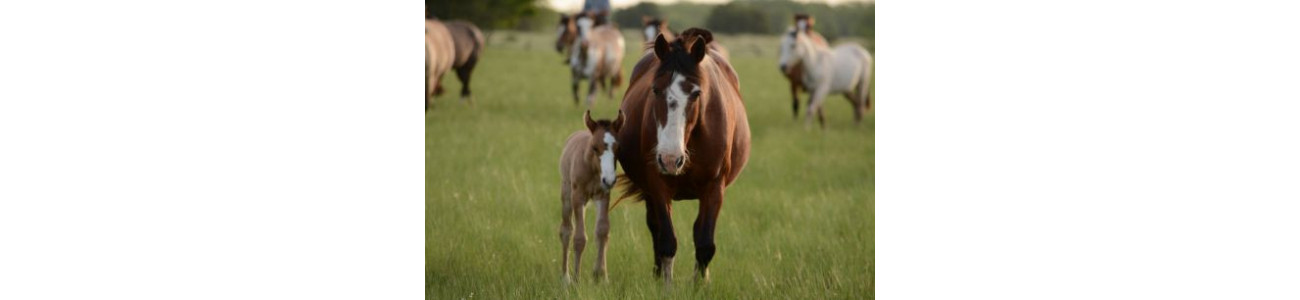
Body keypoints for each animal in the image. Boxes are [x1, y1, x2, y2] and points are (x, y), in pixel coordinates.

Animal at [553, 111, 624, 283]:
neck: (592, 168)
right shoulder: (578, 197)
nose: (609, 180)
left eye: (618, 147)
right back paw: (565, 277)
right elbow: (579, 237)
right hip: (567, 195)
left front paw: (601, 276)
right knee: (566, 230)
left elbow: (602, 231)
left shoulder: (603, 196)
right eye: (594, 147)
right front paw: (576, 279)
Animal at [616, 28, 754, 283]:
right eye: (655, 89)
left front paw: (699, 285)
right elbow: (667, 241)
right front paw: (665, 284)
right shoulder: (658, 185)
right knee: (655, 228)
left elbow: (705, 244)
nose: (671, 159)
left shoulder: (714, 187)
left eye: (696, 93)